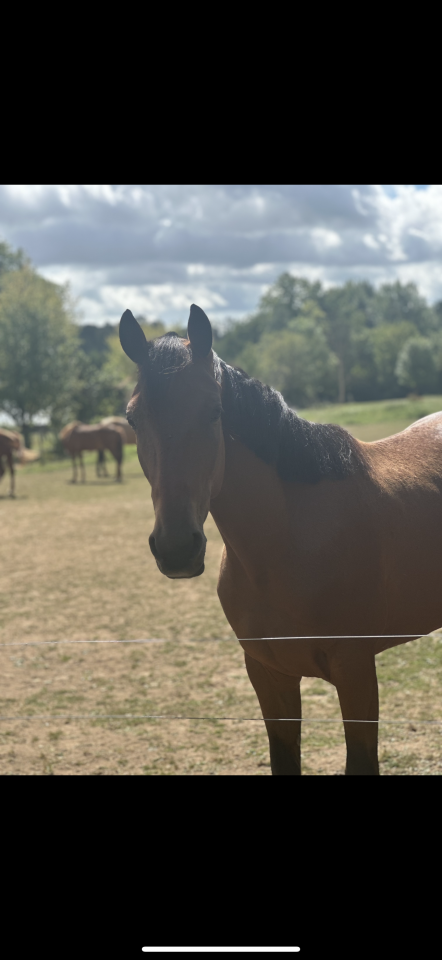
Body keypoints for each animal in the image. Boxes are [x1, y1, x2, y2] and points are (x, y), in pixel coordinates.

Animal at [119, 304, 442, 776]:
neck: (289, 542)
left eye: (214, 411)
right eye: (132, 418)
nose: (177, 548)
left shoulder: (356, 673)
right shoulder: (270, 677)